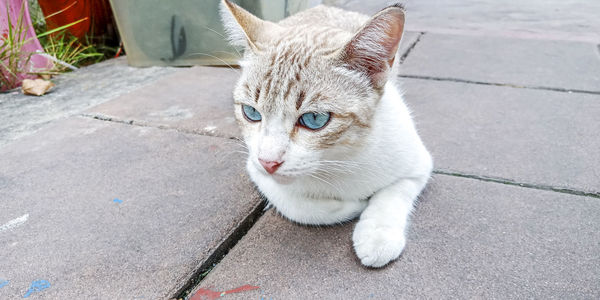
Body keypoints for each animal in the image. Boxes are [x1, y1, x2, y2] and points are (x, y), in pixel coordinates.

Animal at [220, 0, 432, 268]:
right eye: (251, 113)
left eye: (314, 119)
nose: (269, 162)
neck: (338, 160)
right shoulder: (255, 167)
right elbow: (296, 206)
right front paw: (352, 206)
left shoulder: (418, 164)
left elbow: (393, 194)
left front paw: (377, 236)